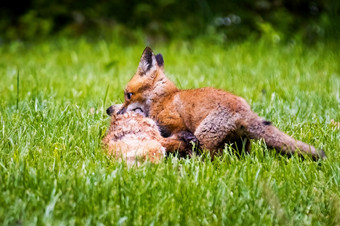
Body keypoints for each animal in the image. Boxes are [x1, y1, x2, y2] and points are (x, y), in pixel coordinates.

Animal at [107, 46, 326, 160]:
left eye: (128, 95)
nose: (110, 110)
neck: (163, 98)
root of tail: (244, 111)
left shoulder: (176, 124)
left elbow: (178, 136)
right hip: (240, 145)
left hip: (205, 137)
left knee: (210, 159)